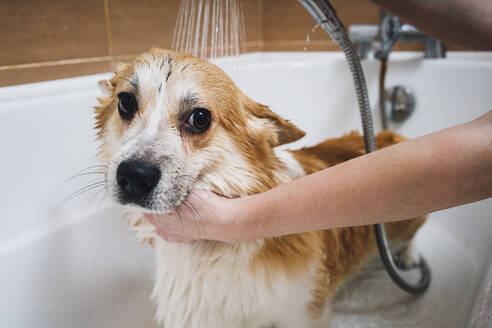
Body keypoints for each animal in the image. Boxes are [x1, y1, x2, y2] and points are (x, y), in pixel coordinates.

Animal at [95, 48, 422, 328]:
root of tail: (390, 135)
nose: (134, 177)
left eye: (200, 117)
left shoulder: (305, 312)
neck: (209, 252)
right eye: (126, 102)